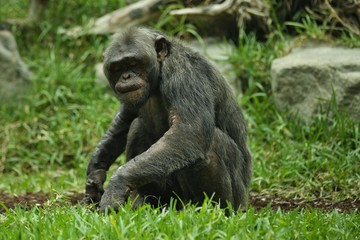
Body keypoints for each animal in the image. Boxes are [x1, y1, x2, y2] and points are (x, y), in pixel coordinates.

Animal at [82, 26, 252, 212]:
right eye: (117, 68)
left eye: (134, 63)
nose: (126, 76)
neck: (159, 73)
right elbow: (124, 120)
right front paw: (95, 173)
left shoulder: (184, 75)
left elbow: (189, 132)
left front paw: (117, 185)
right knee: (136, 127)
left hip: (234, 199)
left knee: (213, 144)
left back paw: (212, 210)